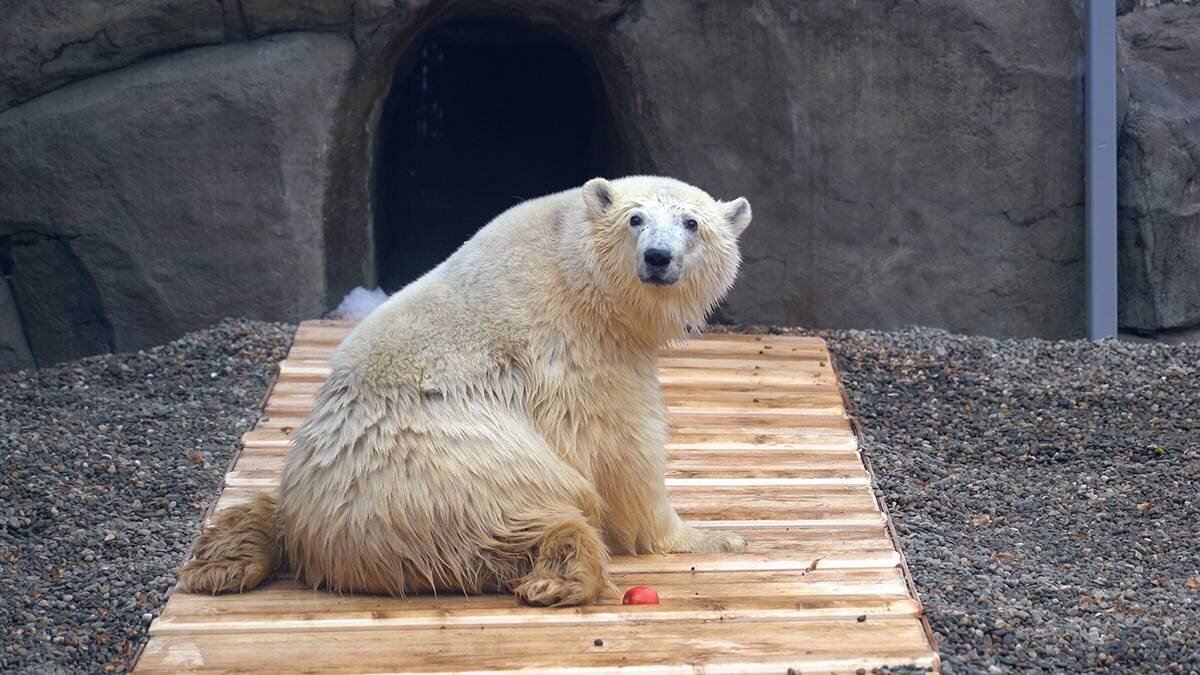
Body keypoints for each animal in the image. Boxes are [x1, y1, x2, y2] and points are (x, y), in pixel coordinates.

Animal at [180, 174, 748, 605]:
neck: (575, 268)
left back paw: (222, 560)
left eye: (691, 223)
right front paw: (714, 536)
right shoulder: (579, 351)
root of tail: (318, 536)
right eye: (635, 219)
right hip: (455, 475)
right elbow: (623, 451)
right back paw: (560, 576)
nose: (658, 257)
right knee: (518, 519)